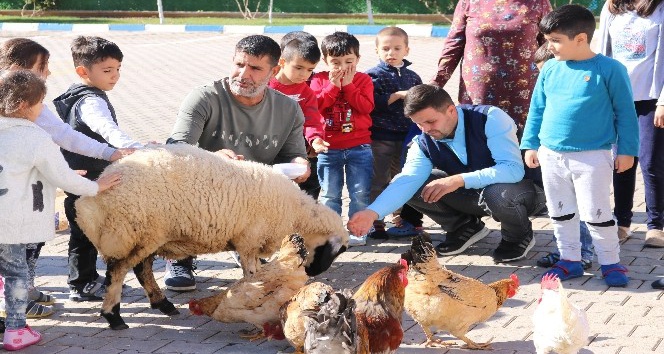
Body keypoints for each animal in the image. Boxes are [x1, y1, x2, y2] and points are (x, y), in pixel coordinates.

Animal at [75, 143, 350, 330]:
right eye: (336, 250)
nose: (313, 273)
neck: (296, 214)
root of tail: (94, 199)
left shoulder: (249, 242)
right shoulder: (248, 240)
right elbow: (253, 275)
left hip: (149, 235)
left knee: (142, 270)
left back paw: (162, 304)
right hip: (133, 232)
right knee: (118, 271)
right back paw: (113, 316)